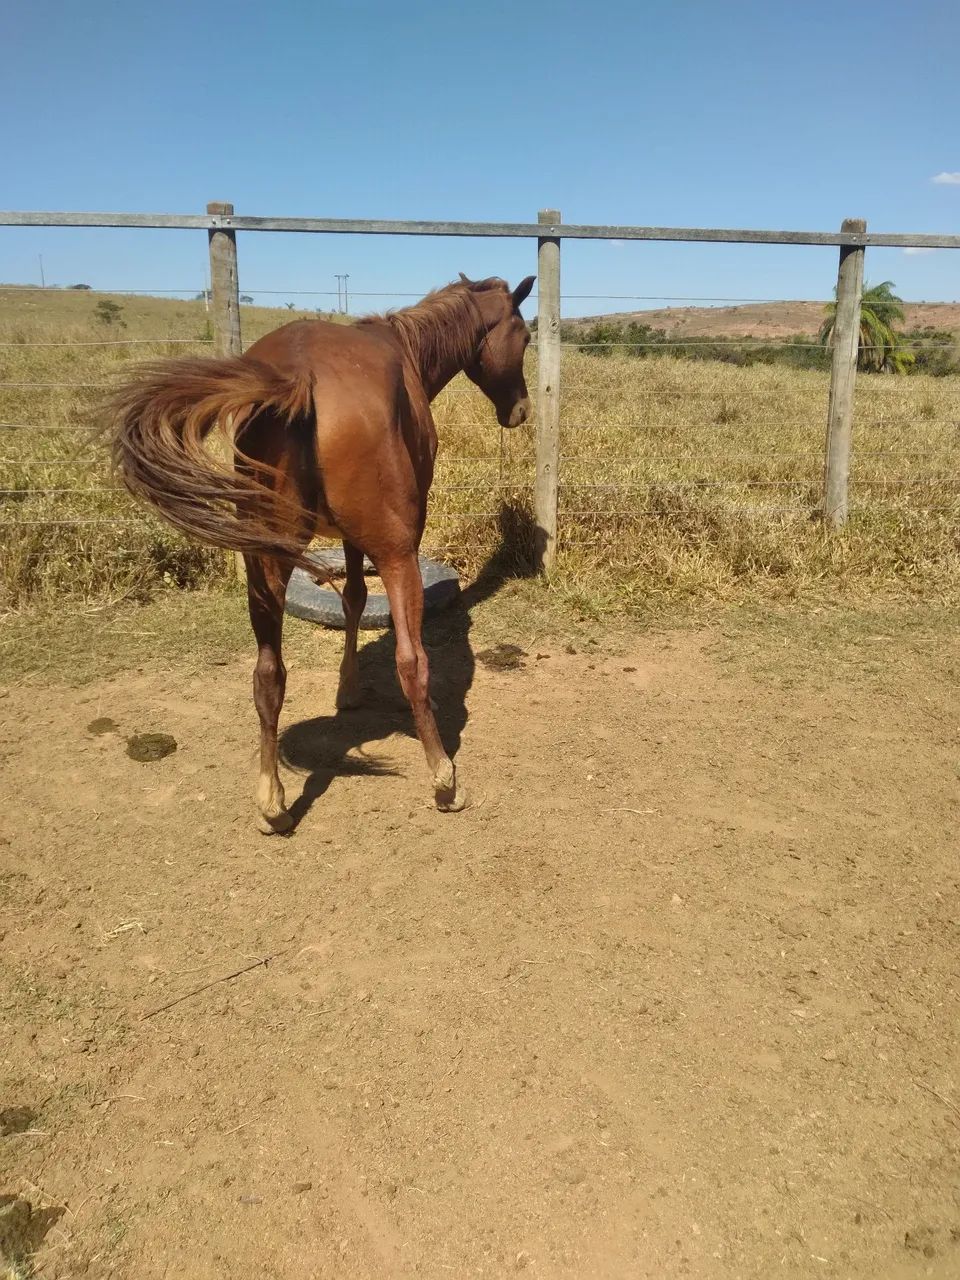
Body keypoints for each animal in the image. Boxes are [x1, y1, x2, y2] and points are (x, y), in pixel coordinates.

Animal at [108, 273, 535, 833]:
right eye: (524, 336)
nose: (521, 411)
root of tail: (298, 376)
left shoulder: (345, 542)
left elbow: (352, 598)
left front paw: (345, 688)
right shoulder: (387, 542)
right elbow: (365, 608)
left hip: (266, 564)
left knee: (268, 675)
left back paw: (272, 801)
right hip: (396, 555)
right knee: (411, 662)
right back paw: (443, 779)